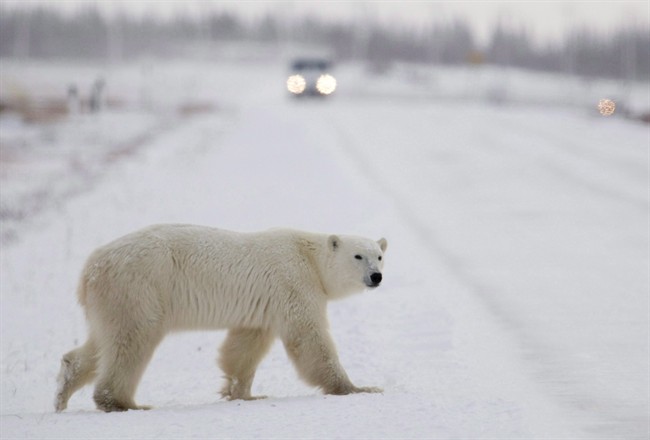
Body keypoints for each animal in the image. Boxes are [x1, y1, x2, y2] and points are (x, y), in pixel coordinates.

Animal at [54, 224, 387, 412]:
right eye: (358, 256)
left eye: (380, 255)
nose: (376, 276)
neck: (310, 258)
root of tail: (89, 269)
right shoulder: (294, 282)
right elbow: (309, 338)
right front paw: (358, 388)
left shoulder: (264, 304)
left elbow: (245, 346)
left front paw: (245, 394)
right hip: (139, 287)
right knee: (132, 339)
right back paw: (124, 403)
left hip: (112, 300)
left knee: (100, 343)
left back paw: (63, 393)